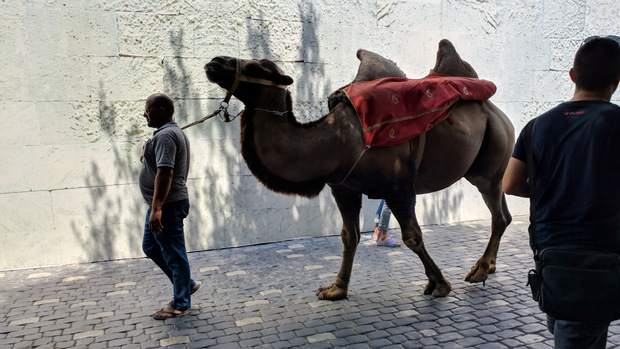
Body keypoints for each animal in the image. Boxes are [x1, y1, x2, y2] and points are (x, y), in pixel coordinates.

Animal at [203, 39, 512, 298]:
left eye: (259, 66)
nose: (214, 62)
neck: (336, 140)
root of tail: (498, 111)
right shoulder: (343, 188)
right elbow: (348, 237)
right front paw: (335, 289)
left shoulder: (398, 188)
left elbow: (412, 237)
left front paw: (439, 284)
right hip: (484, 169)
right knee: (505, 215)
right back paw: (489, 266)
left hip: (491, 159)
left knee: (497, 216)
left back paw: (479, 271)